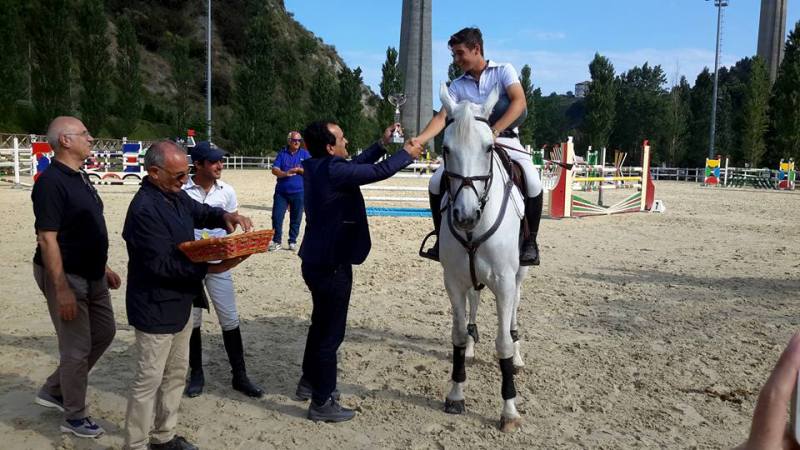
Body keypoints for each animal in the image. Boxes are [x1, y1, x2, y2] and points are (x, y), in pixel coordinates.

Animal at [434, 84, 528, 432]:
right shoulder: (454, 280)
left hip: (518, 276)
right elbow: (459, 334)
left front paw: (509, 411)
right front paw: (456, 394)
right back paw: (474, 347)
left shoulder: (504, 282)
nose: (465, 216)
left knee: (514, 314)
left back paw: (518, 355)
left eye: (489, 148)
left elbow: (502, 343)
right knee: (474, 304)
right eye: (446, 149)